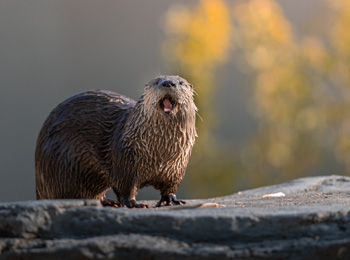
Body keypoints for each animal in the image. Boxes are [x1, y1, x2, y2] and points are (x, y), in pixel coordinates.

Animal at [35, 74, 197, 207]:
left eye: (181, 82)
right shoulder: (124, 159)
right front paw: (132, 203)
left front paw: (171, 199)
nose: (168, 83)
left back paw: (107, 201)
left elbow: (170, 187)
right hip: (64, 168)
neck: (160, 154)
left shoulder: (177, 166)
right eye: (156, 81)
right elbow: (125, 186)